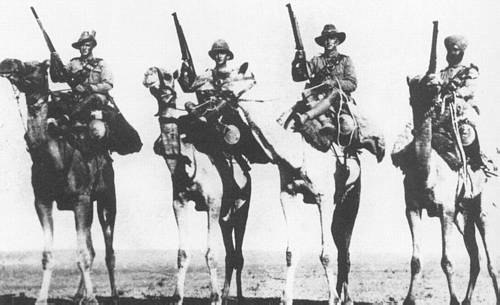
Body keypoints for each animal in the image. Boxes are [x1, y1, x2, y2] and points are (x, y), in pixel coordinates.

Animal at [0, 58, 118, 302]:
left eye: (35, 66)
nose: (7, 63)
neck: (55, 158)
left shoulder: (81, 199)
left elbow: (83, 255)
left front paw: (93, 299)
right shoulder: (42, 201)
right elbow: (49, 254)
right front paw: (41, 299)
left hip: (106, 199)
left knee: (108, 250)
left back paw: (112, 296)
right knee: (92, 249)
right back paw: (78, 296)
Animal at [143, 67, 252, 304]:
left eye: (168, 76)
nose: (149, 74)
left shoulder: (213, 203)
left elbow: (211, 253)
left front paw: (214, 297)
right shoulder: (179, 202)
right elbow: (182, 252)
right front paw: (177, 297)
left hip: (242, 206)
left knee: (238, 254)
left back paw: (236, 297)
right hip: (225, 216)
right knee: (231, 254)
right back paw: (226, 296)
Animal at [392, 74, 498, 304]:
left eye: (432, 86)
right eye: (413, 87)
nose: (423, 101)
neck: (426, 172)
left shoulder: (446, 210)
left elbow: (447, 260)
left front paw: (454, 300)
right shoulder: (412, 208)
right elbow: (415, 260)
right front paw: (409, 299)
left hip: (480, 210)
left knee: (490, 261)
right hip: (463, 217)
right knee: (475, 257)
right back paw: (467, 300)